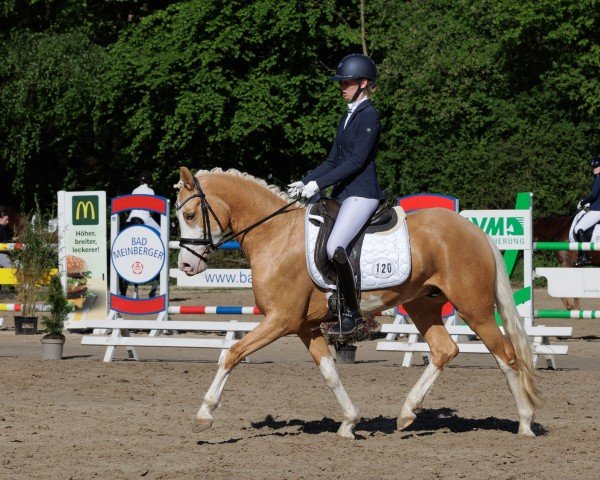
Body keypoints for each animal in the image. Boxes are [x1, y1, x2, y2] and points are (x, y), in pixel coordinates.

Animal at [173, 168, 540, 438]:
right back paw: (406, 413)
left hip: (474, 309)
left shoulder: (281, 320)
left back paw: (525, 423)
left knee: (506, 355)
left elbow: (232, 353)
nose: (187, 266)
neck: (275, 235)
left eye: (190, 215)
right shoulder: (305, 327)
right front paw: (349, 422)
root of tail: (474, 230)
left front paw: (204, 413)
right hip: (422, 305)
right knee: (444, 350)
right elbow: (330, 373)